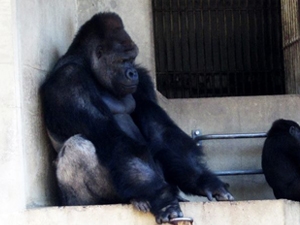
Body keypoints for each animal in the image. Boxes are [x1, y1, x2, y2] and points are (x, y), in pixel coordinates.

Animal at [39, 12, 233, 223]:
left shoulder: (143, 80)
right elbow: (116, 142)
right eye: (123, 60)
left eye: (132, 59)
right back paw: (126, 200)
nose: (132, 73)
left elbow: (161, 134)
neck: (87, 65)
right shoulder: (69, 82)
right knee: (78, 145)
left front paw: (204, 181)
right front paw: (163, 200)